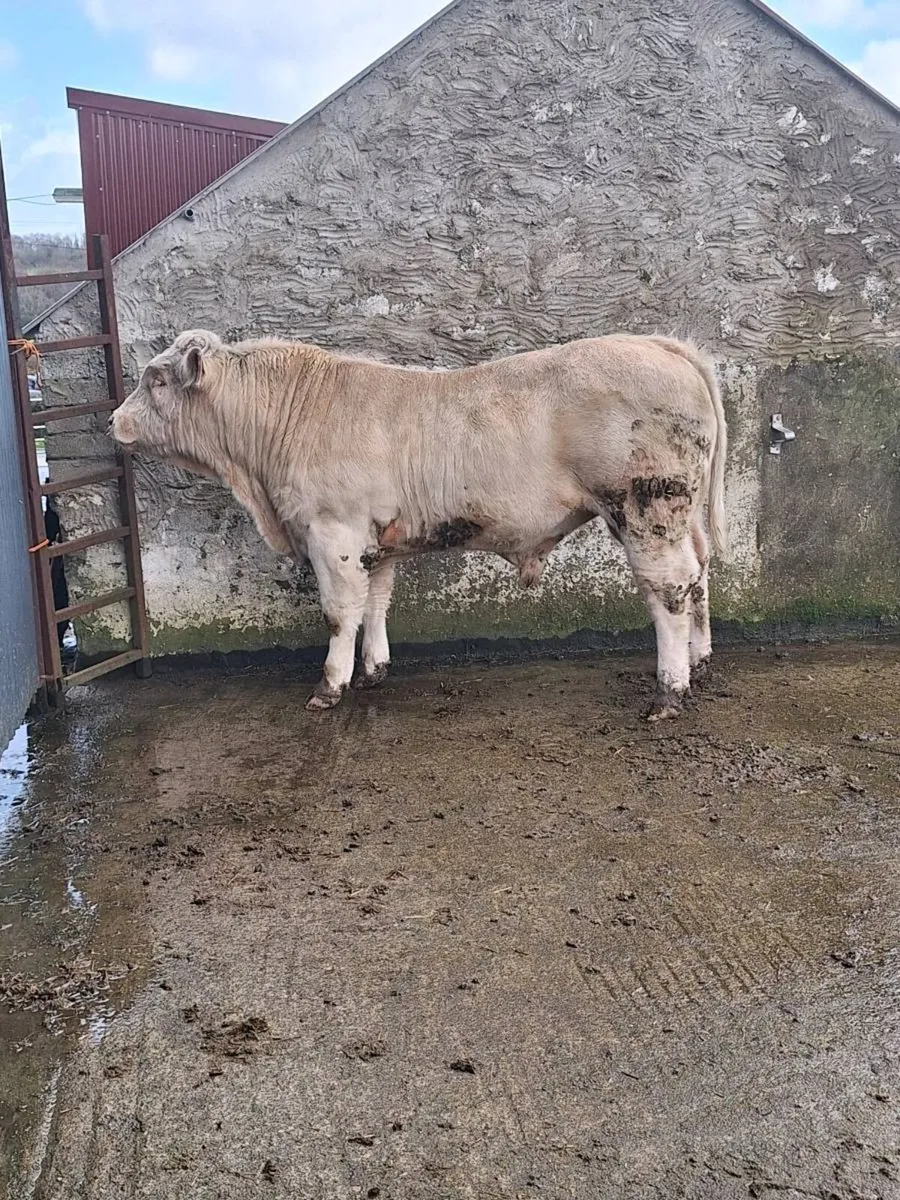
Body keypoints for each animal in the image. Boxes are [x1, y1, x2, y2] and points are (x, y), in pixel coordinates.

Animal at [110, 329, 727, 720]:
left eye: (156, 381)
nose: (115, 420)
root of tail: (659, 344)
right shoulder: (374, 541)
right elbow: (375, 603)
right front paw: (373, 670)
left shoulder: (332, 533)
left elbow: (340, 611)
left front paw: (329, 686)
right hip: (683, 514)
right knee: (699, 575)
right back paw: (699, 662)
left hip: (646, 508)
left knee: (669, 587)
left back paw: (669, 691)